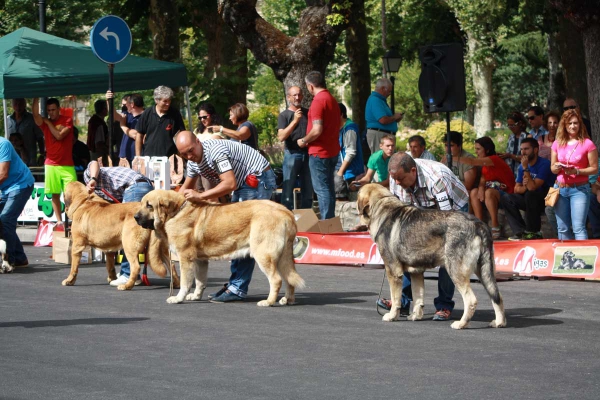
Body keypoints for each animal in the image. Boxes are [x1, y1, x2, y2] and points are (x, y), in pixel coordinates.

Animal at [136, 191, 304, 306]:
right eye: (142, 203)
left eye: (149, 205)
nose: (136, 217)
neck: (177, 211)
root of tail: (286, 212)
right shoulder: (200, 261)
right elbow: (200, 281)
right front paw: (196, 296)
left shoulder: (185, 259)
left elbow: (185, 282)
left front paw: (178, 298)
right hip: (283, 258)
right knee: (289, 279)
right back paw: (287, 300)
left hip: (264, 255)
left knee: (276, 280)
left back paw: (268, 302)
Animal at [356, 184, 506, 328]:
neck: (381, 207)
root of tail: (478, 224)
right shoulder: (416, 272)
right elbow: (418, 296)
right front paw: (415, 316)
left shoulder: (393, 271)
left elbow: (395, 299)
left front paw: (392, 316)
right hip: (484, 272)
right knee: (497, 296)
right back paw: (499, 322)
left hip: (456, 271)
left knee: (471, 300)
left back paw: (461, 324)